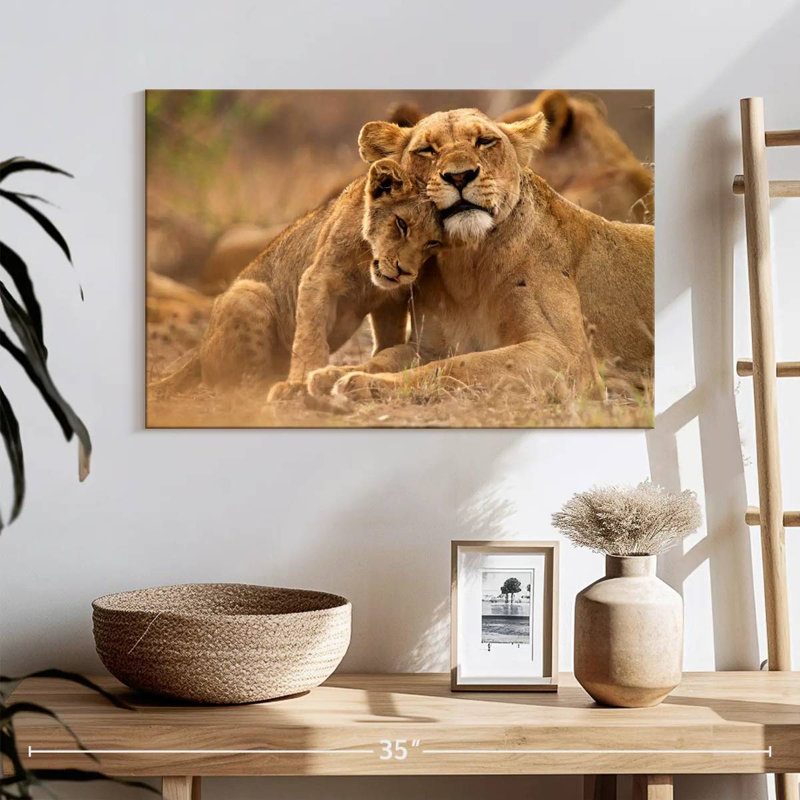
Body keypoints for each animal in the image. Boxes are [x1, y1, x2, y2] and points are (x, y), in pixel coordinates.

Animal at [150, 158, 442, 395]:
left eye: (433, 243)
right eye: (401, 224)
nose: (405, 271)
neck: (367, 265)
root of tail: (198, 351)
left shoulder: (391, 299)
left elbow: (389, 338)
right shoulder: (318, 279)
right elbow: (310, 337)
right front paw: (302, 380)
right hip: (249, 293)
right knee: (241, 384)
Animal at [306, 108, 653, 412]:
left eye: (485, 141)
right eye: (427, 150)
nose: (460, 176)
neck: (466, 263)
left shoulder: (568, 357)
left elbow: (459, 365)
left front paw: (363, 384)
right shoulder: (428, 345)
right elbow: (388, 356)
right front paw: (330, 374)